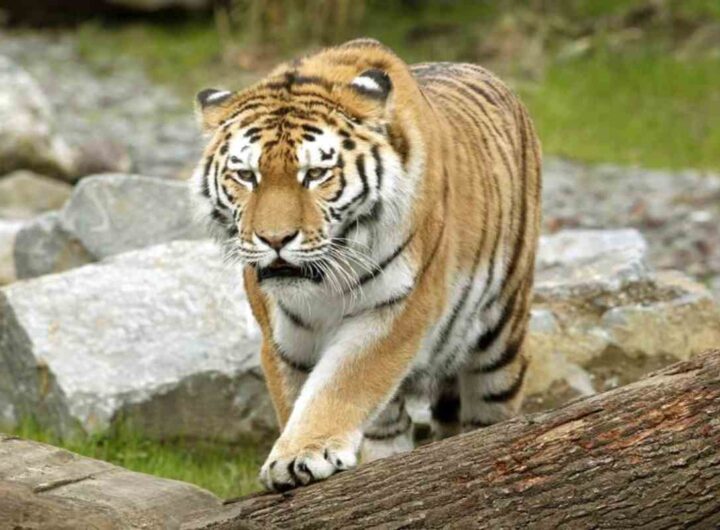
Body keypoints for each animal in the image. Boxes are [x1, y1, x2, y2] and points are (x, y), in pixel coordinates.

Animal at [191, 38, 541, 492]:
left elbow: (342, 384)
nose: (275, 240)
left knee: (490, 408)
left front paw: (300, 454)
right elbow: (298, 397)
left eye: (315, 174)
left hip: (501, 340)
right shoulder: (283, 336)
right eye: (247, 176)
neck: (319, 287)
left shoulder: (397, 310)